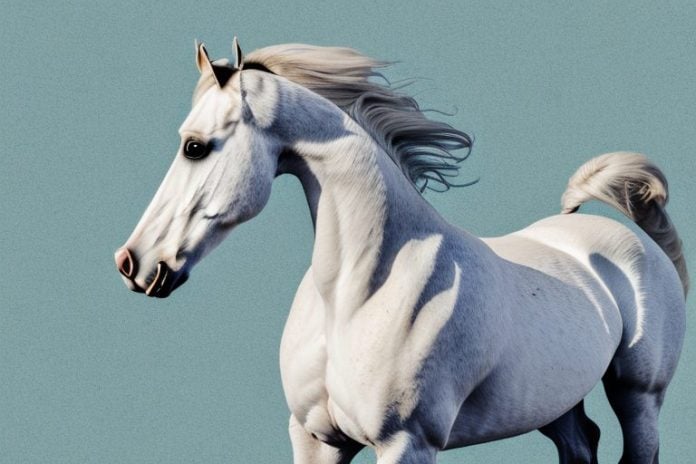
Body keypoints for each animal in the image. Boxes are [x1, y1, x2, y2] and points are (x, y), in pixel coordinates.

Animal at [114, 38, 688, 463]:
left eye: (195, 146)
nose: (132, 263)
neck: (359, 294)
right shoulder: (317, 439)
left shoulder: (407, 442)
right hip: (554, 403)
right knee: (581, 441)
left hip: (640, 397)